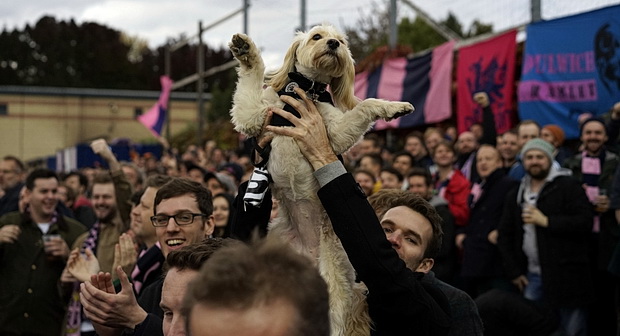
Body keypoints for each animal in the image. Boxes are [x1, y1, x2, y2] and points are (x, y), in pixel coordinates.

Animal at [228, 24, 412, 336]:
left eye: (342, 40)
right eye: (317, 36)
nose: (334, 43)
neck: (308, 89)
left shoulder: (334, 132)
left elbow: (365, 105)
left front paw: (394, 106)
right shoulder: (256, 115)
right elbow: (252, 81)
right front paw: (246, 52)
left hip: (334, 274)